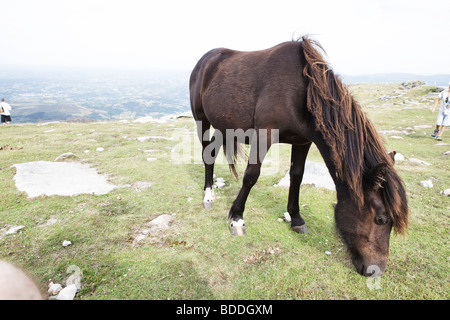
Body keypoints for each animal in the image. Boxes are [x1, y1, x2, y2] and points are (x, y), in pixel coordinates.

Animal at [189, 35, 408, 276]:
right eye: (381, 219)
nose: (375, 270)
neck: (302, 92)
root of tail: (205, 60)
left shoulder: (303, 141)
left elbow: (297, 175)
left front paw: (296, 218)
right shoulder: (264, 135)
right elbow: (251, 176)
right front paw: (237, 218)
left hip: (223, 125)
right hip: (202, 120)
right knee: (206, 155)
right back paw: (207, 197)